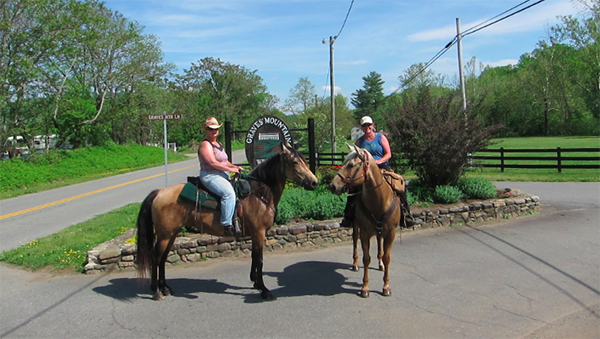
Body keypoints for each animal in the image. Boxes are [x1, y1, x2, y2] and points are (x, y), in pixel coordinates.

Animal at [135, 143, 318, 300]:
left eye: (304, 160)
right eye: (295, 162)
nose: (314, 182)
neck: (259, 194)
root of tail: (159, 192)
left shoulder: (255, 234)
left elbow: (254, 257)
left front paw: (255, 283)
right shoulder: (259, 232)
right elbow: (259, 259)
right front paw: (264, 290)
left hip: (171, 234)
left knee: (163, 258)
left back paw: (165, 288)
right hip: (165, 235)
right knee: (156, 258)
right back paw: (156, 291)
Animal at [328, 146, 404, 298]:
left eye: (351, 165)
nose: (332, 186)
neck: (379, 200)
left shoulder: (390, 233)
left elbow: (387, 258)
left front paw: (386, 286)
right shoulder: (365, 233)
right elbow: (366, 258)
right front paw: (365, 288)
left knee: (379, 243)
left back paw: (380, 264)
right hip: (356, 227)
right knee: (354, 241)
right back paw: (355, 264)